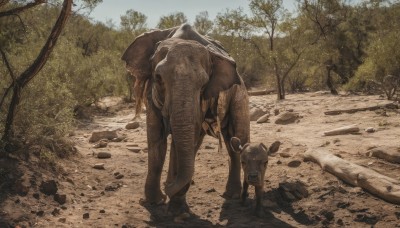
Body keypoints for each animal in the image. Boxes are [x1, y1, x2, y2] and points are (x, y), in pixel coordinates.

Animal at [121, 24, 250, 215]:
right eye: (158, 77)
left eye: (204, 83)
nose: (168, 186)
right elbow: (156, 137)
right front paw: (154, 202)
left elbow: (186, 137)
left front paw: (176, 207)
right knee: (230, 141)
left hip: (240, 94)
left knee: (237, 138)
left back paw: (232, 195)